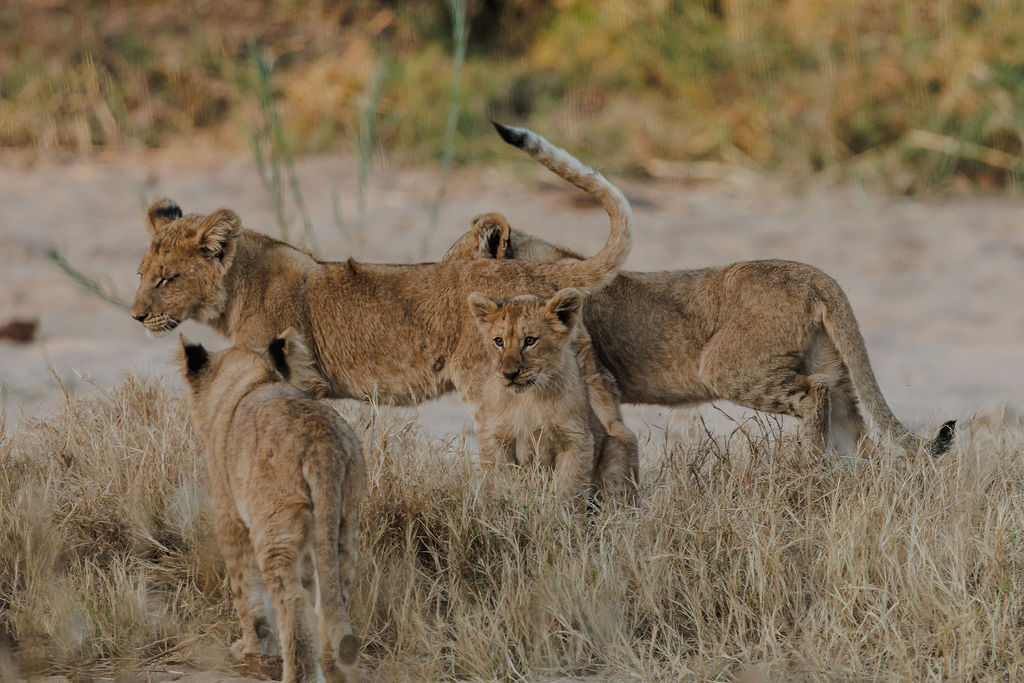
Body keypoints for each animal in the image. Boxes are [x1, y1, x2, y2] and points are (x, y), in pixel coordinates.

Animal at [132, 123, 632, 439]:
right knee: (612, 430)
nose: (136, 316)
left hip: (496, 378)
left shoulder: (297, 377)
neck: (238, 288)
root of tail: (535, 268)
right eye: (141, 275)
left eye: (167, 279)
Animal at [179, 328, 365, 683]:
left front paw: (251, 648)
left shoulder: (230, 519)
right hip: (342, 525)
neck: (254, 376)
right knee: (331, 596)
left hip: (274, 527)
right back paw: (331, 668)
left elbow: (246, 592)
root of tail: (321, 441)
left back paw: (296, 672)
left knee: (291, 601)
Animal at [444, 213, 956, 459]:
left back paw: (810, 467)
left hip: (728, 366)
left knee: (813, 398)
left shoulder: (592, 373)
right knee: (852, 423)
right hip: (831, 365)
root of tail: (815, 275)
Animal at [467, 287, 639, 501]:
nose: (509, 374)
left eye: (530, 341)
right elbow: (502, 480)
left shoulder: (575, 438)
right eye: (499, 341)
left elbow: (568, 488)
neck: (527, 399)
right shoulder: (496, 437)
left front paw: (562, 510)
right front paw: (505, 502)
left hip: (616, 448)